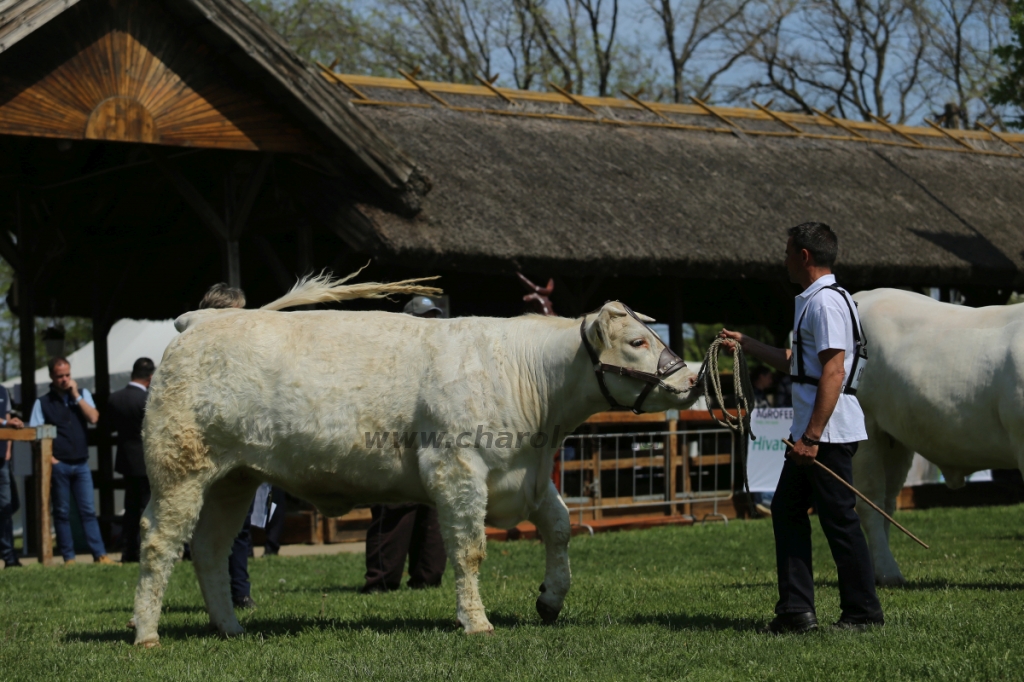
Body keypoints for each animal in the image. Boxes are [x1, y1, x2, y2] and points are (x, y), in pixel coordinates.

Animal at [130, 274, 704, 643]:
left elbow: (561, 529)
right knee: (161, 544)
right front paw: (476, 623)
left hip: (235, 479)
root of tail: (201, 320)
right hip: (180, 469)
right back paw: (147, 633)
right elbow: (470, 551)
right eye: (637, 341)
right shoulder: (458, 470)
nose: (693, 379)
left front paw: (550, 599)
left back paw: (230, 627)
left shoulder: (529, 477)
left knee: (208, 549)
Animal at [851, 288, 1024, 585]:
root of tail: (863, 294)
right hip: (865, 427)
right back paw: (887, 572)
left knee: (888, 500)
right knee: (870, 501)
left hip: (894, 438)